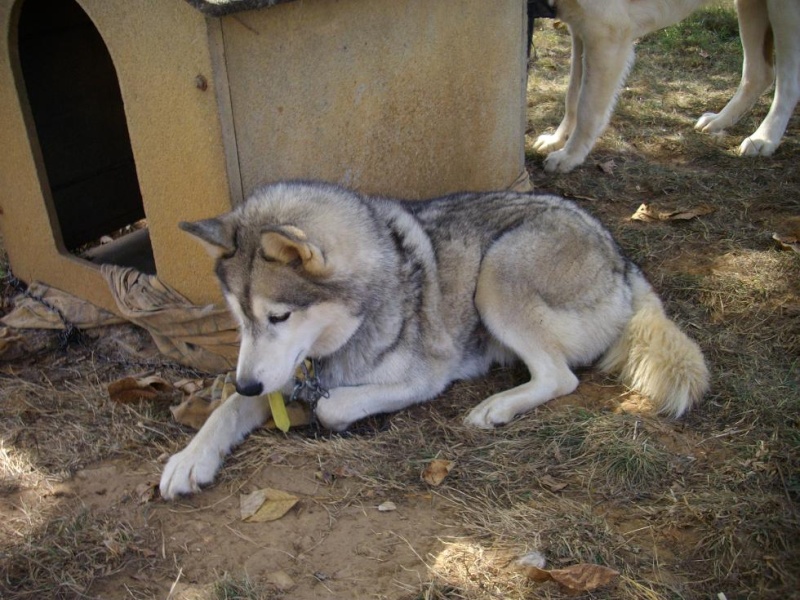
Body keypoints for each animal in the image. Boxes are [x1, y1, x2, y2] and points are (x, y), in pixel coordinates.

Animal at [159, 180, 708, 500]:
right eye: (238, 318)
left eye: (279, 316)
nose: (248, 384)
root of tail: (621, 258)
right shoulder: (279, 373)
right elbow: (225, 411)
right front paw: (190, 458)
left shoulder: (425, 377)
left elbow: (333, 405)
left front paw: (319, 413)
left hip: (498, 272)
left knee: (561, 377)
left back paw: (496, 407)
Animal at [532, 0, 800, 173]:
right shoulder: (581, 30)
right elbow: (572, 96)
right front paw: (557, 139)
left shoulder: (606, 34)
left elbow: (587, 108)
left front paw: (570, 155)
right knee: (759, 73)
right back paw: (720, 120)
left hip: (785, 11)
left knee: (788, 82)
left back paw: (764, 138)